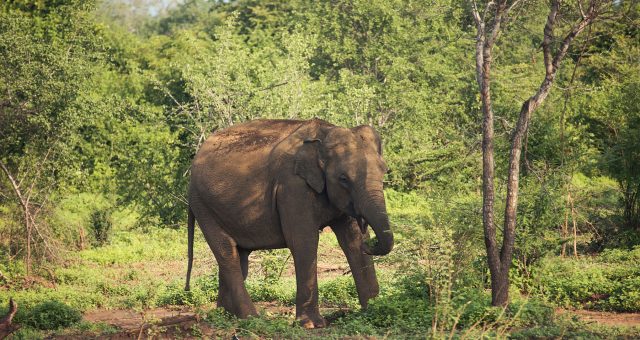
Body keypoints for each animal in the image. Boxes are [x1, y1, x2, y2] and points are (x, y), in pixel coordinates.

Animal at [185, 118, 392, 328]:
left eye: (384, 171)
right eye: (343, 179)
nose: (371, 243)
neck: (324, 134)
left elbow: (352, 241)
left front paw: (372, 311)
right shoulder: (292, 187)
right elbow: (303, 241)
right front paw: (312, 325)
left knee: (239, 255)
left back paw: (225, 316)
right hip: (203, 206)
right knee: (228, 254)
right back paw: (251, 318)